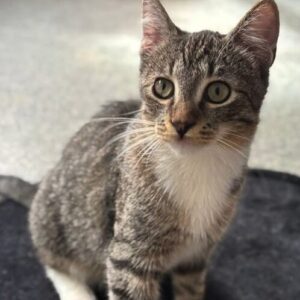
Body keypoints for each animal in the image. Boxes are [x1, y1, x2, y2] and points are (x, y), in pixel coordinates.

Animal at [28, 0, 278, 300]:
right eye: (163, 87)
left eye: (218, 92)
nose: (181, 123)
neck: (195, 166)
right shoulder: (128, 255)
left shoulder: (196, 257)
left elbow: (190, 288)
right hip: (54, 219)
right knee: (53, 260)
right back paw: (77, 291)